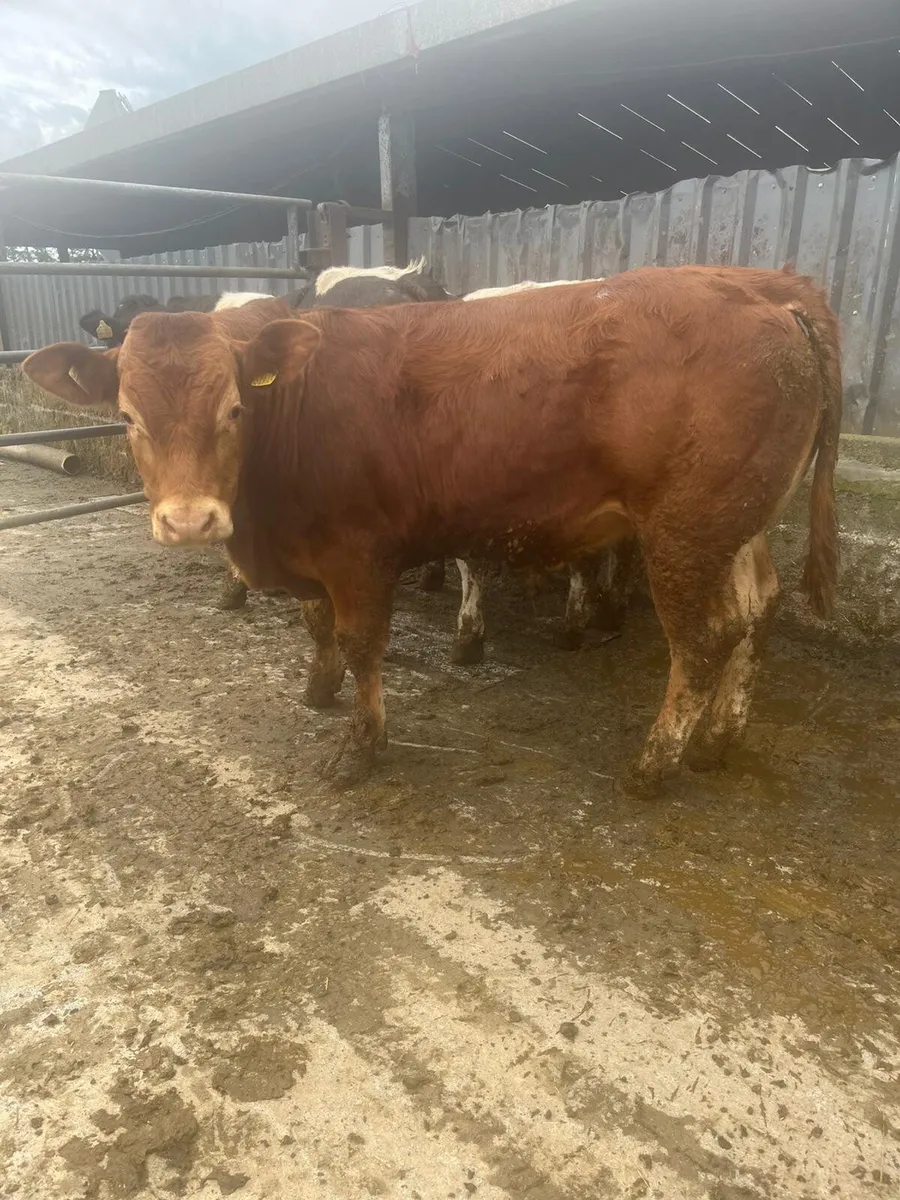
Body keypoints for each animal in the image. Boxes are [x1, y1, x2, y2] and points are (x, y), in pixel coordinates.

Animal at [25, 265, 841, 795]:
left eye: (233, 407)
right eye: (127, 415)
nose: (190, 519)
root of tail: (768, 292)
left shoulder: (356, 553)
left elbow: (360, 642)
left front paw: (361, 747)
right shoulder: (308, 551)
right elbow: (315, 625)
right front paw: (318, 689)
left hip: (684, 534)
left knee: (703, 640)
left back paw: (655, 764)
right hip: (738, 525)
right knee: (757, 609)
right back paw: (719, 742)